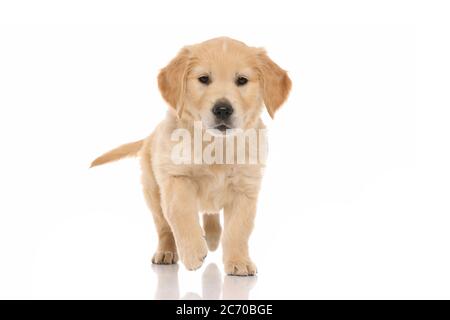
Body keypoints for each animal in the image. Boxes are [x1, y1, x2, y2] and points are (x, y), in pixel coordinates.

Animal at [91, 37, 292, 276]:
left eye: (242, 80)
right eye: (204, 79)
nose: (222, 109)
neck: (215, 146)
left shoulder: (246, 188)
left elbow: (238, 229)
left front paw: (239, 261)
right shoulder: (176, 177)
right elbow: (181, 212)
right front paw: (194, 251)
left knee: (210, 213)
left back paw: (213, 236)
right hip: (152, 191)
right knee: (164, 226)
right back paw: (168, 251)